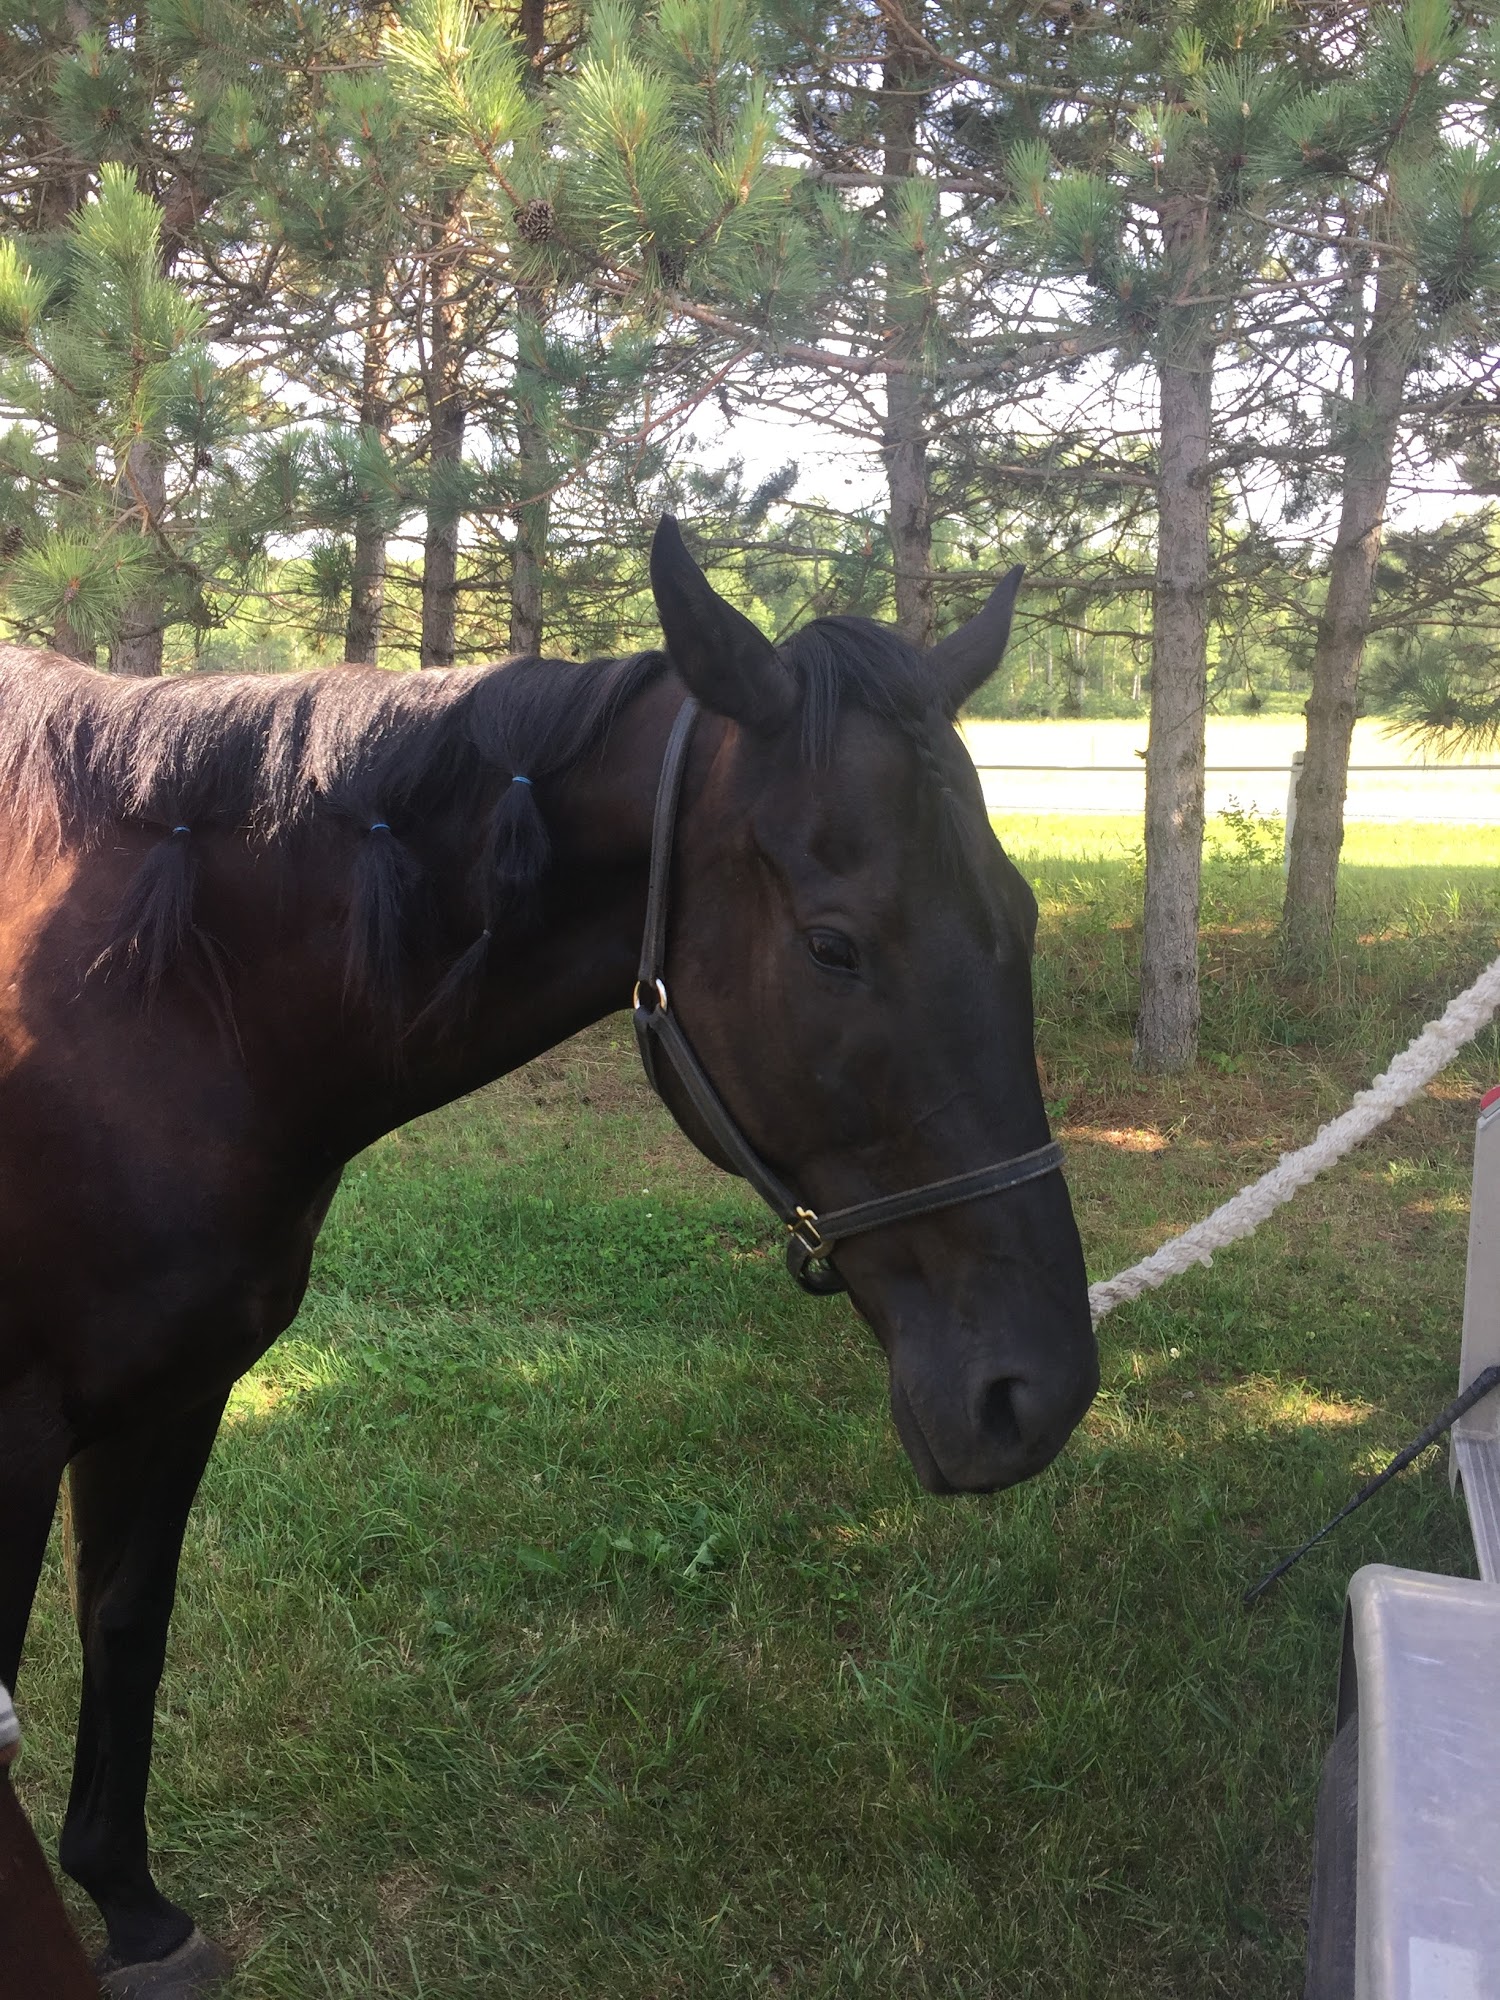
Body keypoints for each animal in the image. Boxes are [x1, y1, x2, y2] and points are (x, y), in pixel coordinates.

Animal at [0, 518, 1097, 1997]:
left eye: (1022, 916)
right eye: (831, 945)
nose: (1038, 1392)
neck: (139, 1003)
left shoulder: (170, 1391)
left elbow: (125, 1619)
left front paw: (132, 1906)